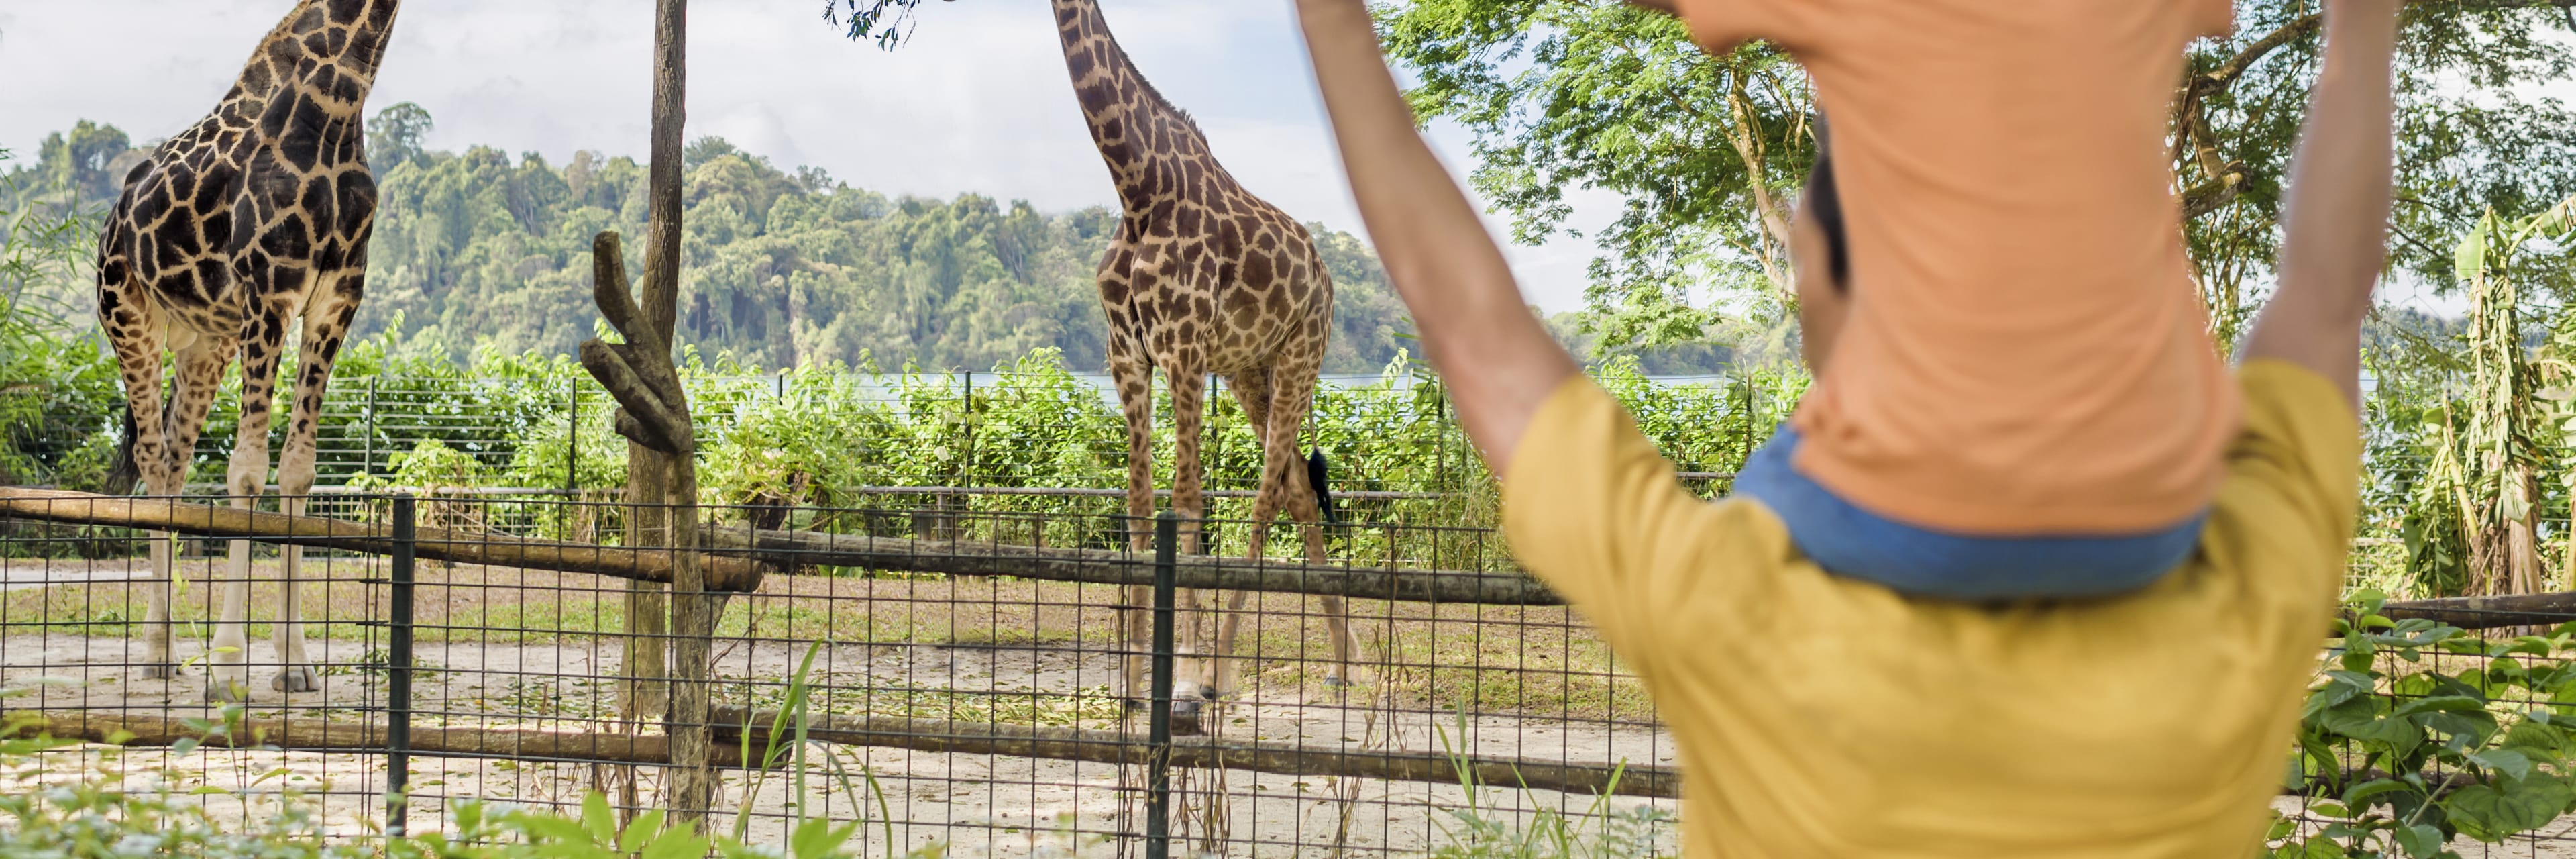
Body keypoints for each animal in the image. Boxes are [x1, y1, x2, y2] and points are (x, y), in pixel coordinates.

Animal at [95, 0, 402, 701]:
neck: (337, 104)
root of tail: (114, 218)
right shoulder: (269, 287)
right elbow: (246, 472)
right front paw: (229, 665)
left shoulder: (336, 299)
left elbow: (297, 472)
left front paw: (294, 661)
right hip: (128, 319)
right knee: (150, 460)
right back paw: (158, 651)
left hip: (207, 342)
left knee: (174, 464)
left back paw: (166, 648)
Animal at [1046, 0, 1370, 722]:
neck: (1137, 185)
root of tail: (1326, 278)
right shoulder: (1126, 354)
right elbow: (1140, 506)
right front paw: (1132, 684)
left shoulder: (1184, 346)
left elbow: (1188, 502)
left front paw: (1185, 679)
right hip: (1252, 370)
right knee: (1297, 488)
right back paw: (1343, 663)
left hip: (1302, 353)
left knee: (1265, 497)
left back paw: (1223, 670)